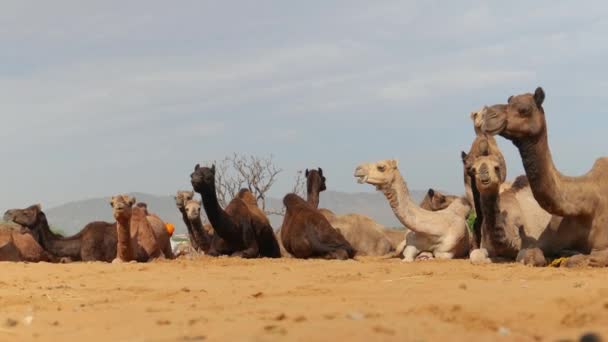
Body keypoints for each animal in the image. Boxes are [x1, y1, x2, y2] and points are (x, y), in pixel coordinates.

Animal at [480, 86, 608, 268]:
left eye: (524, 109)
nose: (489, 115)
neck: (586, 203)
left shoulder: (602, 246)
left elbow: (580, 260)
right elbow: (530, 254)